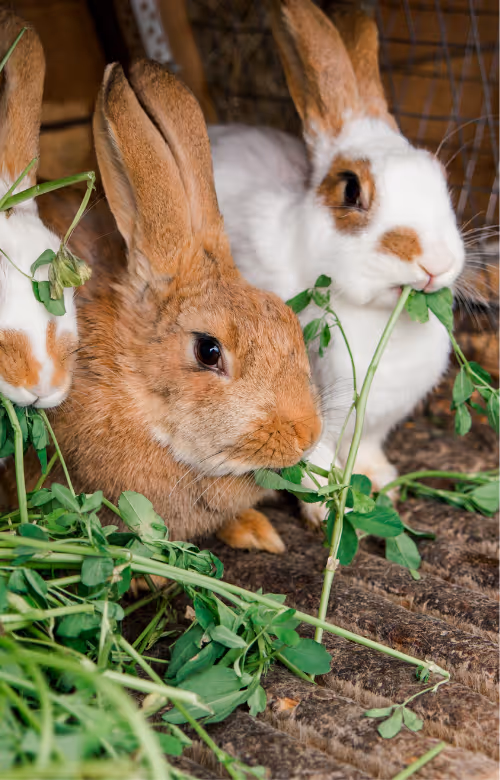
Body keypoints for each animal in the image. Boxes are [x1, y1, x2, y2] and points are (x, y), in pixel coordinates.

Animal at [207, 1, 465, 513]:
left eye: (439, 177)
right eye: (350, 189)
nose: (436, 263)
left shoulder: (376, 423)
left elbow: (366, 449)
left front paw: (380, 480)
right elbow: (313, 461)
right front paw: (329, 509)